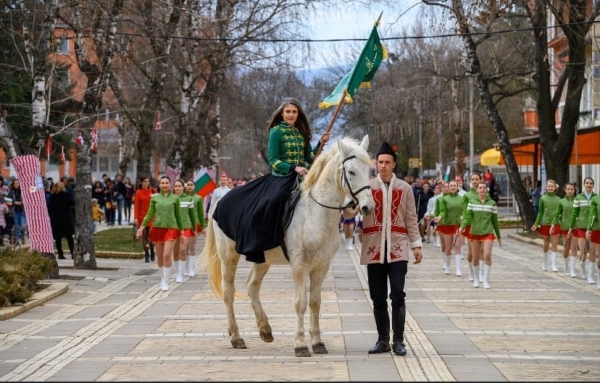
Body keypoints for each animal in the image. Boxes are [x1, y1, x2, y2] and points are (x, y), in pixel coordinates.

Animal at [205, 135, 376, 356]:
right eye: (352, 171)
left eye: (370, 171)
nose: (368, 207)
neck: (315, 213)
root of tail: (220, 200)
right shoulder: (299, 266)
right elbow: (300, 303)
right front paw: (300, 344)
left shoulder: (321, 266)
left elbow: (315, 302)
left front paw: (318, 342)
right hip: (228, 257)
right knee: (228, 292)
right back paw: (236, 337)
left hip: (262, 259)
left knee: (252, 286)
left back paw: (265, 329)